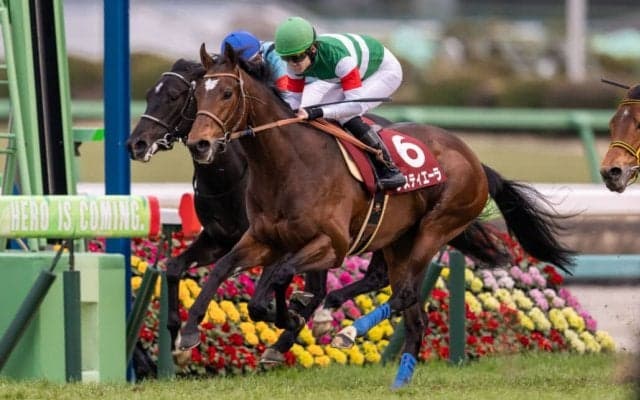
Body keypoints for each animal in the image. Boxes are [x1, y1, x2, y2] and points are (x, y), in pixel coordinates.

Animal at [181, 44, 575, 388]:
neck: (288, 165)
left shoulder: (332, 245)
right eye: (197, 94)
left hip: (435, 229)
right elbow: (225, 271)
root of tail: (476, 162)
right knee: (413, 314)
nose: (200, 144)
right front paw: (188, 334)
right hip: (398, 240)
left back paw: (344, 328)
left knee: (403, 295)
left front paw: (293, 315)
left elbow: (276, 278)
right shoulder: (263, 238)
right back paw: (397, 377)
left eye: (227, 93)